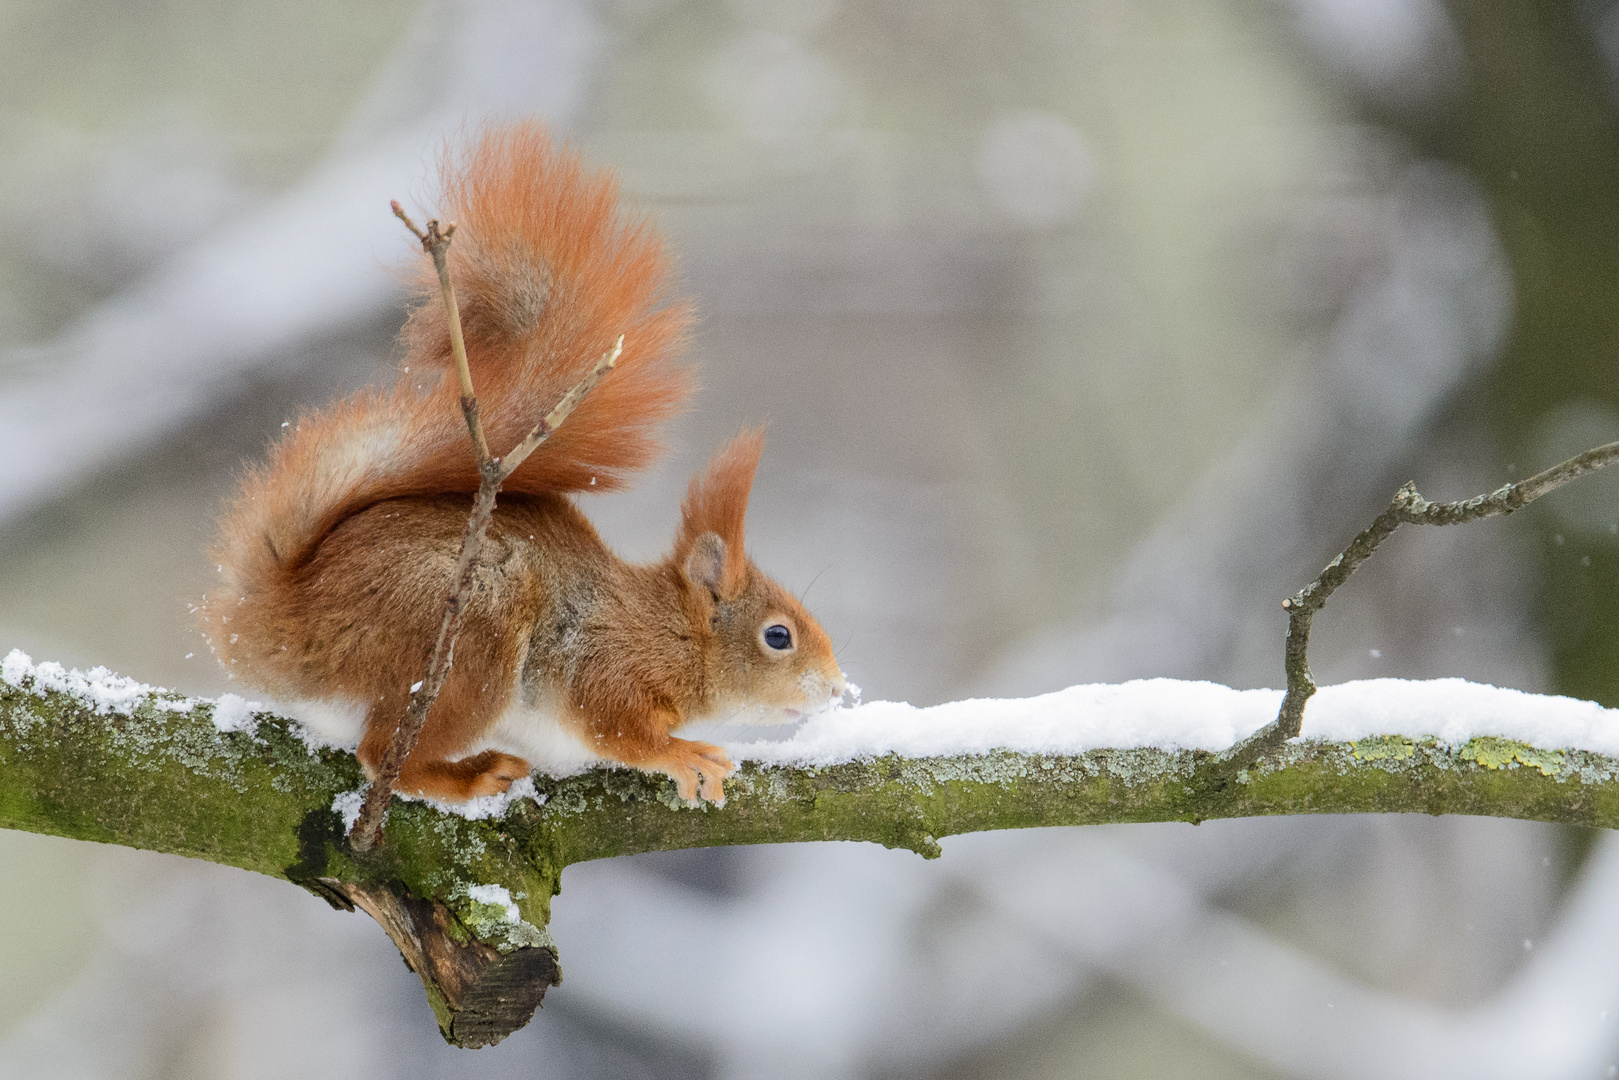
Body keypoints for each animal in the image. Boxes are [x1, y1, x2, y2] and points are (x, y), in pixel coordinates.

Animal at [195, 122, 841, 806]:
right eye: (778, 636)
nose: (836, 687)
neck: (669, 628)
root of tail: (277, 627)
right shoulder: (609, 664)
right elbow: (617, 729)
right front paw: (684, 752)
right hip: (472, 642)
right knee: (383, 757)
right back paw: (474, 774)